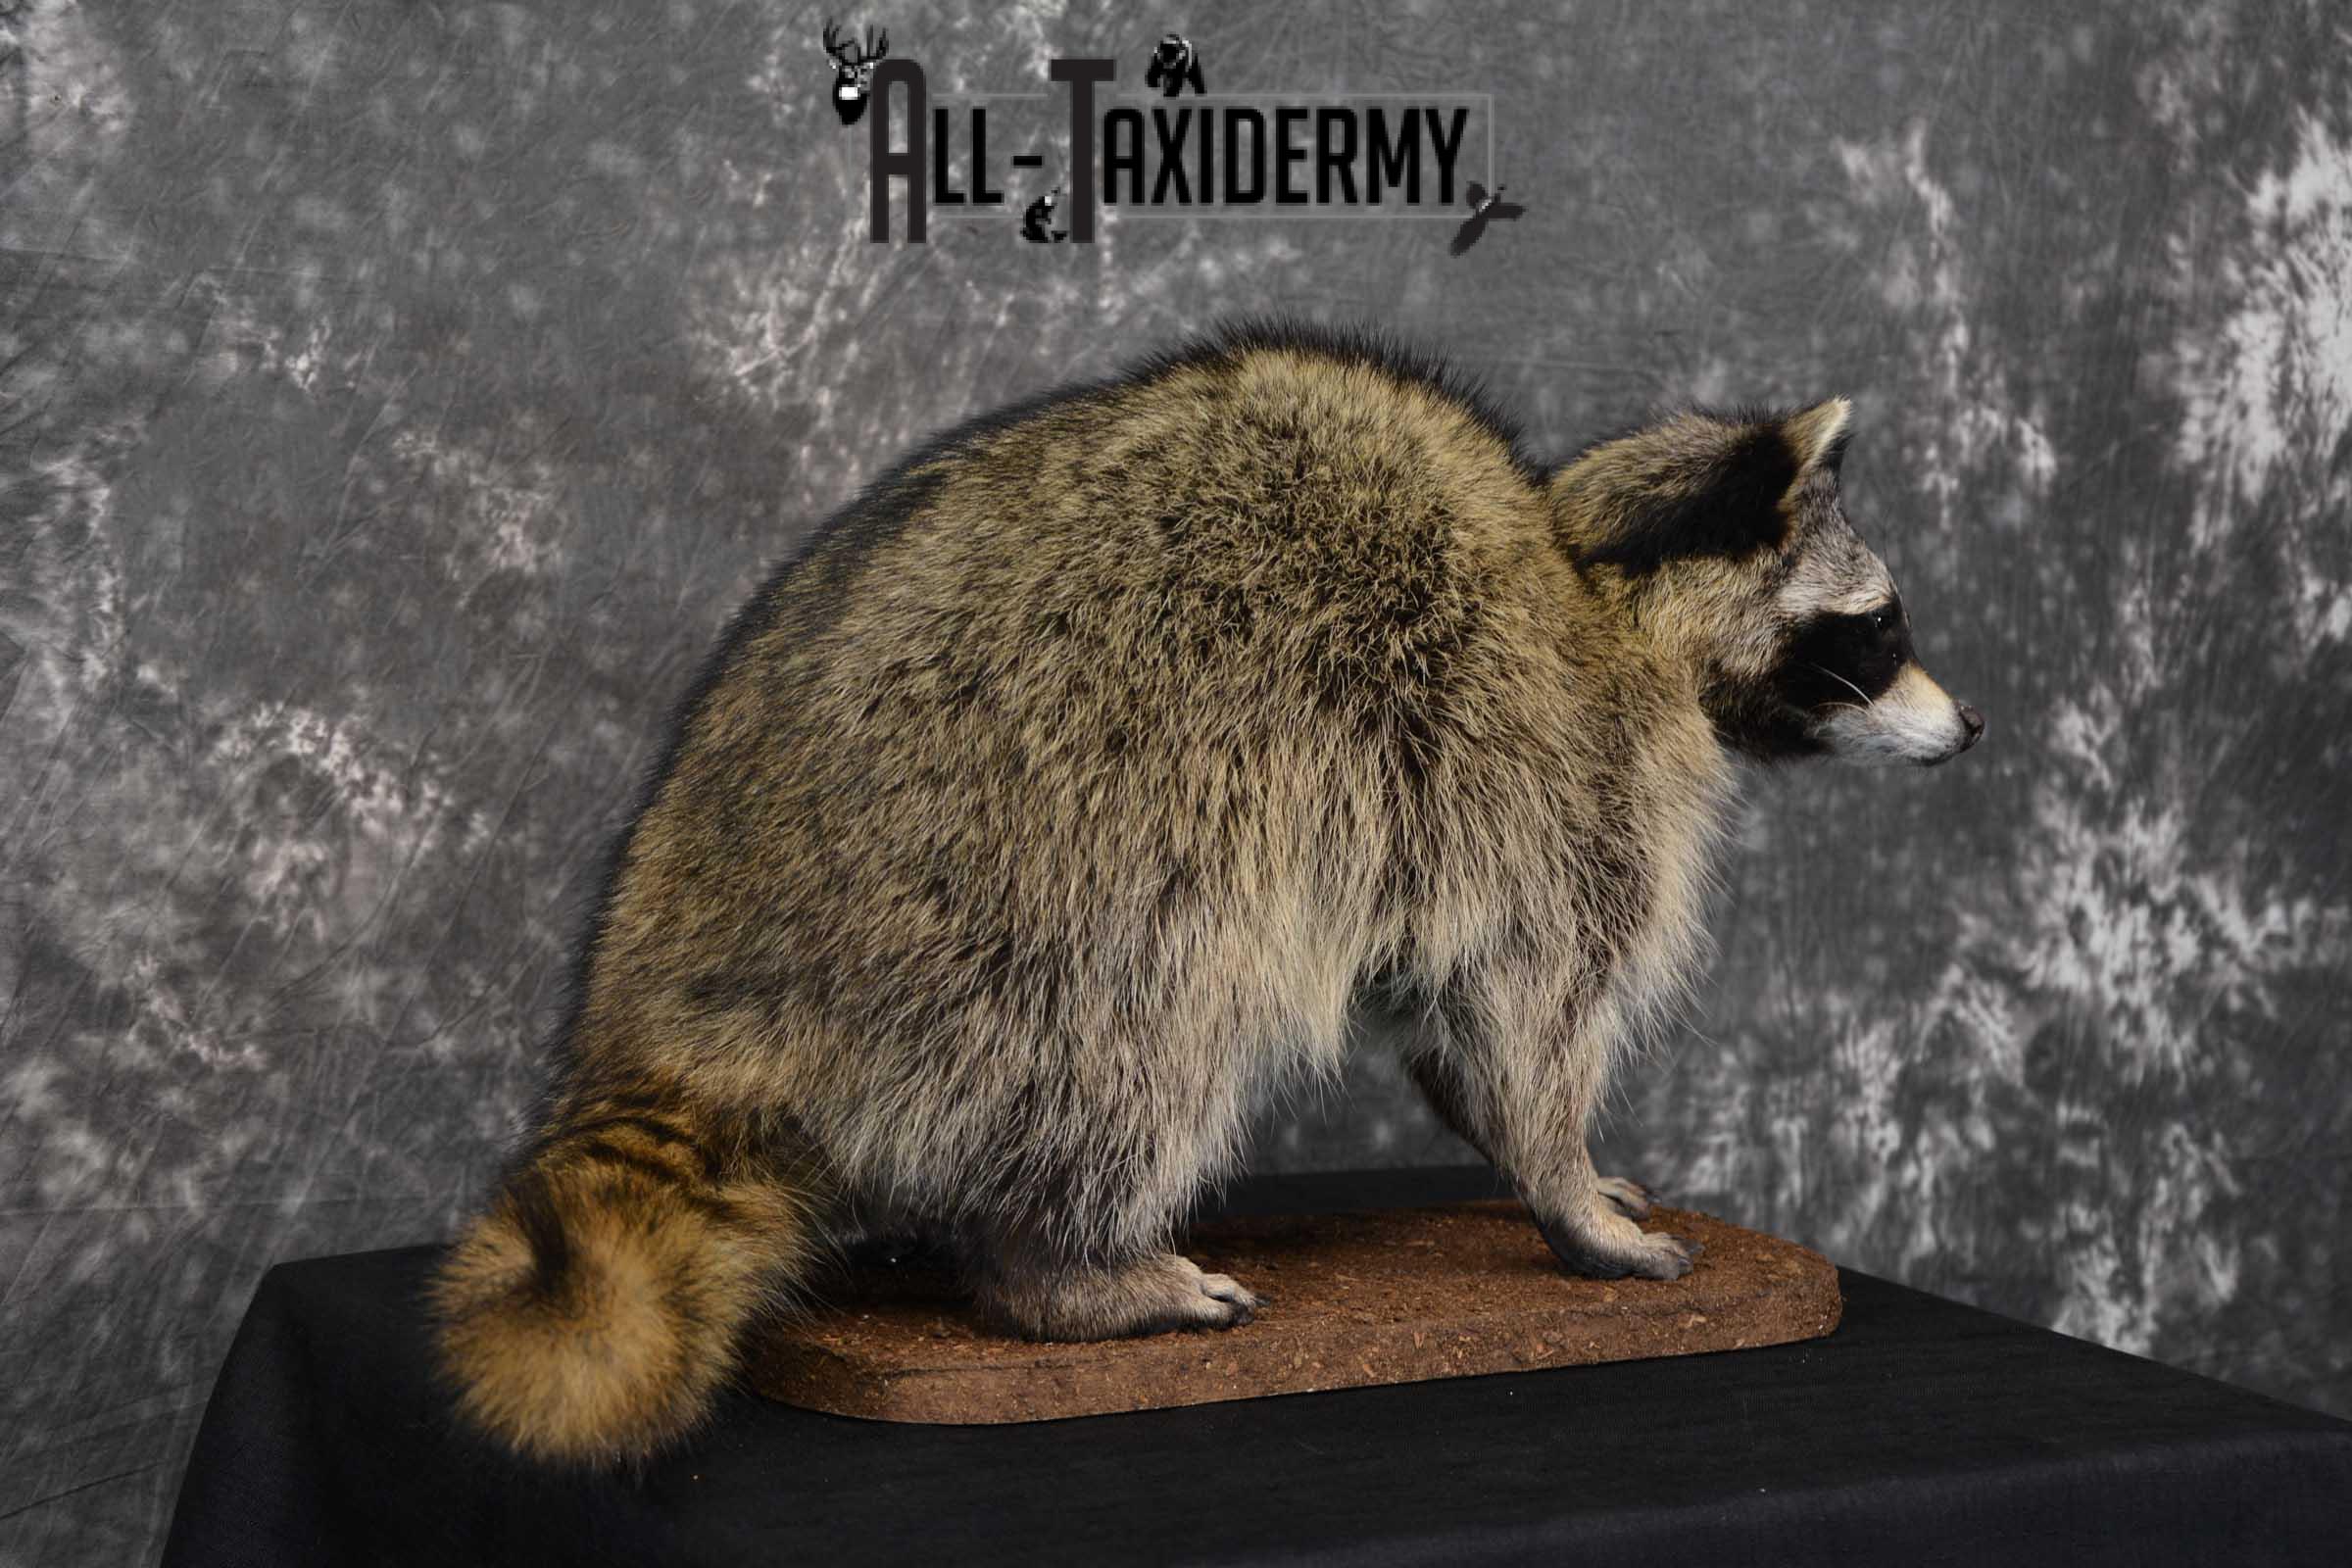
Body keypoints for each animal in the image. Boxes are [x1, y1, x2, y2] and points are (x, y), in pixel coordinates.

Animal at [430, 319, 1982, 1465]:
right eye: (1881, 627)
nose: (1971, 730)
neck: (1596, 582)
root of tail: (692, 999)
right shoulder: (1543, 767)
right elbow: (1521, 1004)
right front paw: (1564, 1185)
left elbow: (1448, 1027)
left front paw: (1560, 1166)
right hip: (1057, 872)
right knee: (1150, 1026)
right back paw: (1068, 1268)